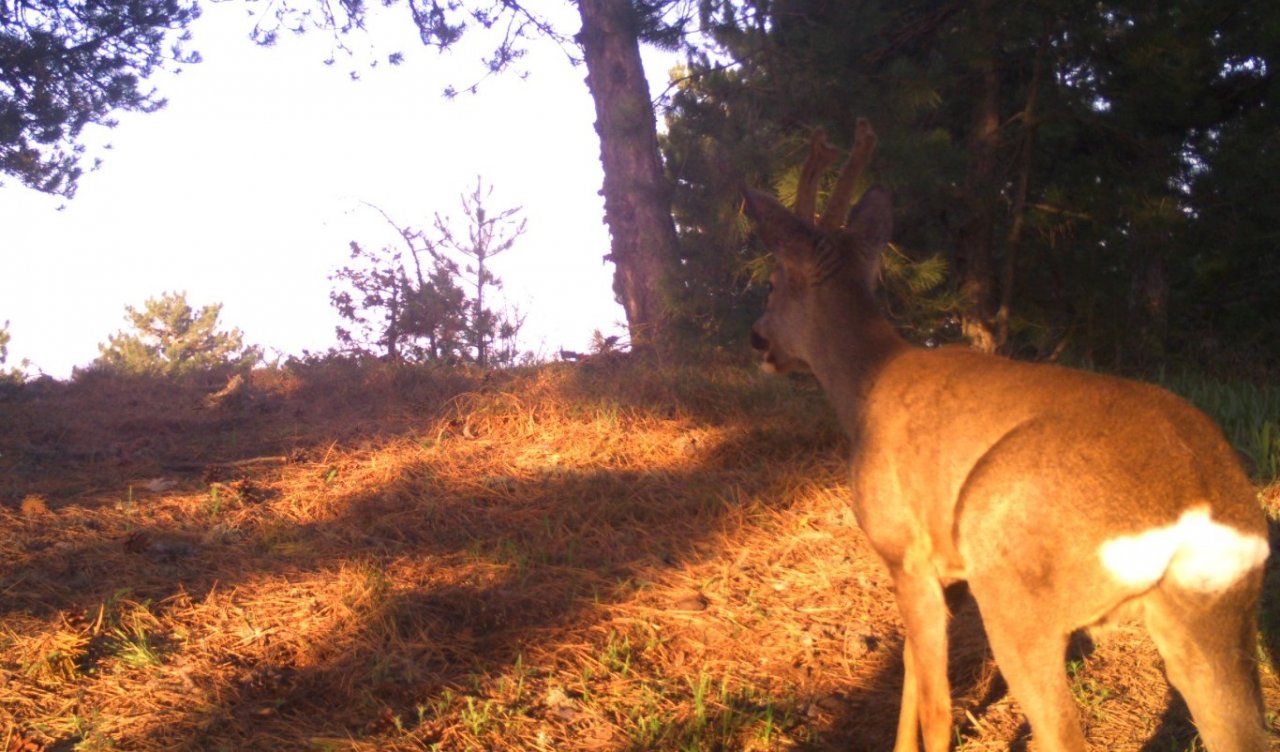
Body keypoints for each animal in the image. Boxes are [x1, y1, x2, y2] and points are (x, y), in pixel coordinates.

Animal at [742, 120, 1269, 746]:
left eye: (774, 281)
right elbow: (911, 670)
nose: (757, 338)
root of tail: (1199, 508)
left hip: (1016, 589)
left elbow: (936, 703)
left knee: (1061, 731)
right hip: (1215, 618)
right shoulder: (946, 570)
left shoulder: (905, 550)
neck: (867, 384)